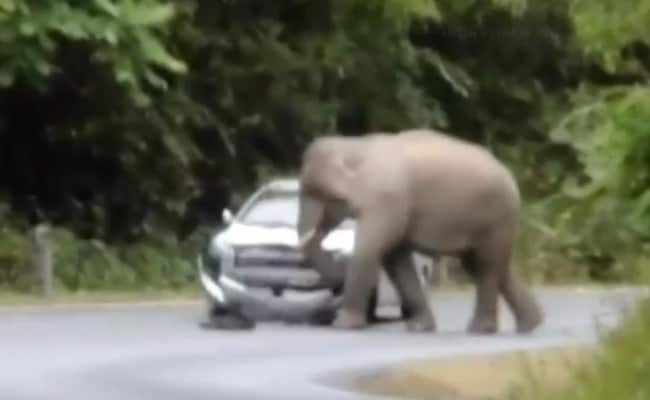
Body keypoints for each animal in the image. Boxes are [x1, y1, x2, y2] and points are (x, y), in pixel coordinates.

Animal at [296, 129, 544, 334]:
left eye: (318, 194)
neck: (355, 144)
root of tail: (511, 178)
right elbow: (395, 259)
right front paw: (418, 328)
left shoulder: (386, 200)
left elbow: (371, 250)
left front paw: (343, 326)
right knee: (485, 265)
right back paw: (531, 324)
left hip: (496, 218)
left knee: (486, 265)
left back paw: (481, 329)